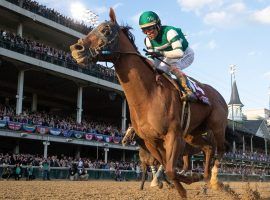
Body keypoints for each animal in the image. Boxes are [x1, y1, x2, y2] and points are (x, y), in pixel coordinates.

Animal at [70, 8, 228, 198]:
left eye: (106, 30)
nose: (76, 49)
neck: (148, 96)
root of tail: (219, 96)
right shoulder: (152, 141)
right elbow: (167, 168)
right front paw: (184, 183)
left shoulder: (173, 135)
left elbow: (170, 169)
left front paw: (182, 184)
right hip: (192, 133)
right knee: (208, 148)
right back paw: (204, 177)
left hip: (217, 126)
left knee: (221, 149)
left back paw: (214, 180)